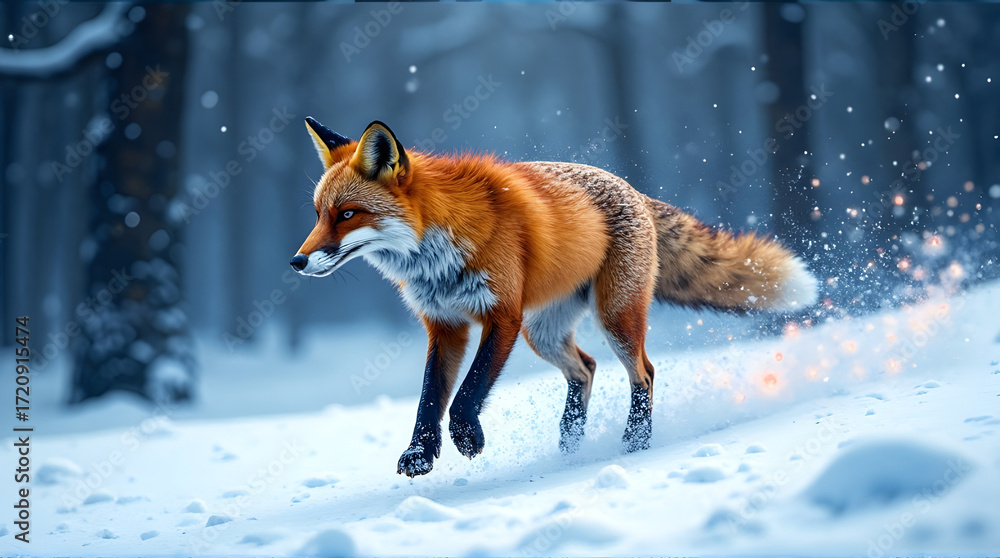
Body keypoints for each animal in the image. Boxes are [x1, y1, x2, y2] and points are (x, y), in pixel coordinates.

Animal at [291, 117, 818, 477]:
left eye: (347, 214)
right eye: (318, 213)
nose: (296, 261)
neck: (437, 249)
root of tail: (634, 189)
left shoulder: (501, 314)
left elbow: (466, 393)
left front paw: (467, 438)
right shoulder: (445, 326)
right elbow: (428, 399)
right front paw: (420, 454)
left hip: (612, 316)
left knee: (644, 373)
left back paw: (634, 442)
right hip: (542, 332)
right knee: (585, 368)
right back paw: (569, 445)